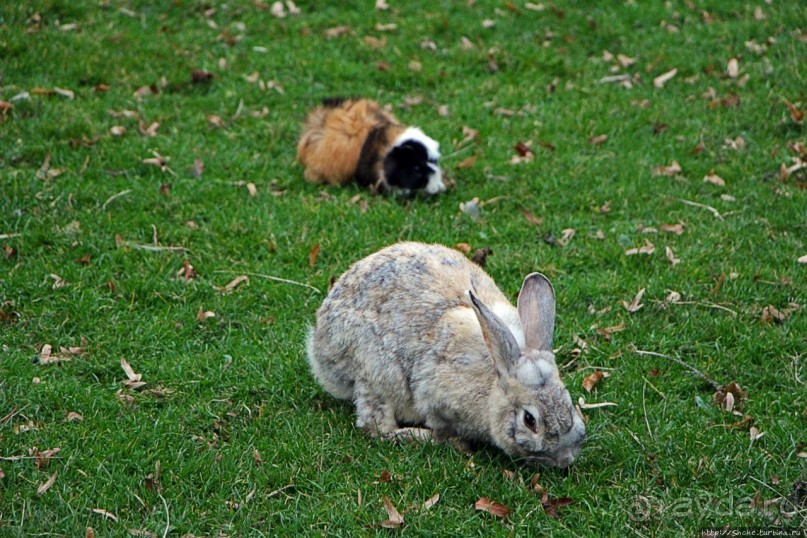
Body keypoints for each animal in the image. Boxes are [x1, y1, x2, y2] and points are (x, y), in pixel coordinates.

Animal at [306, 242, 584, 464]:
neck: (496, 373)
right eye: (529, 420)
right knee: (376, 424)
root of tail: (319, 341)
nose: (565, 459)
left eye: (569, 402)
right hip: (376, 373)